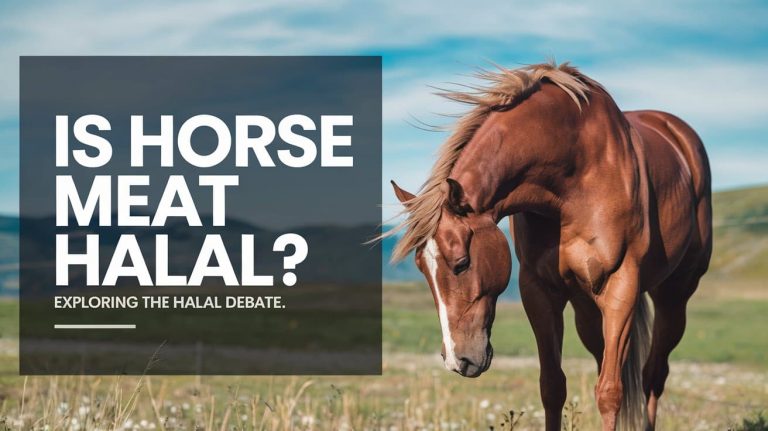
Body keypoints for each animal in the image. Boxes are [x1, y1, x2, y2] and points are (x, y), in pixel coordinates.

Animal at [386, 62, 712, 431]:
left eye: (461, 263)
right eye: (421, 269)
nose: (458, 360)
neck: (575, 173)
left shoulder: (621, 285)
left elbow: (610, 392)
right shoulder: (539, 290)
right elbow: (553, 386)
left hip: (674, 295)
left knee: (652, 375)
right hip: (587, 306)